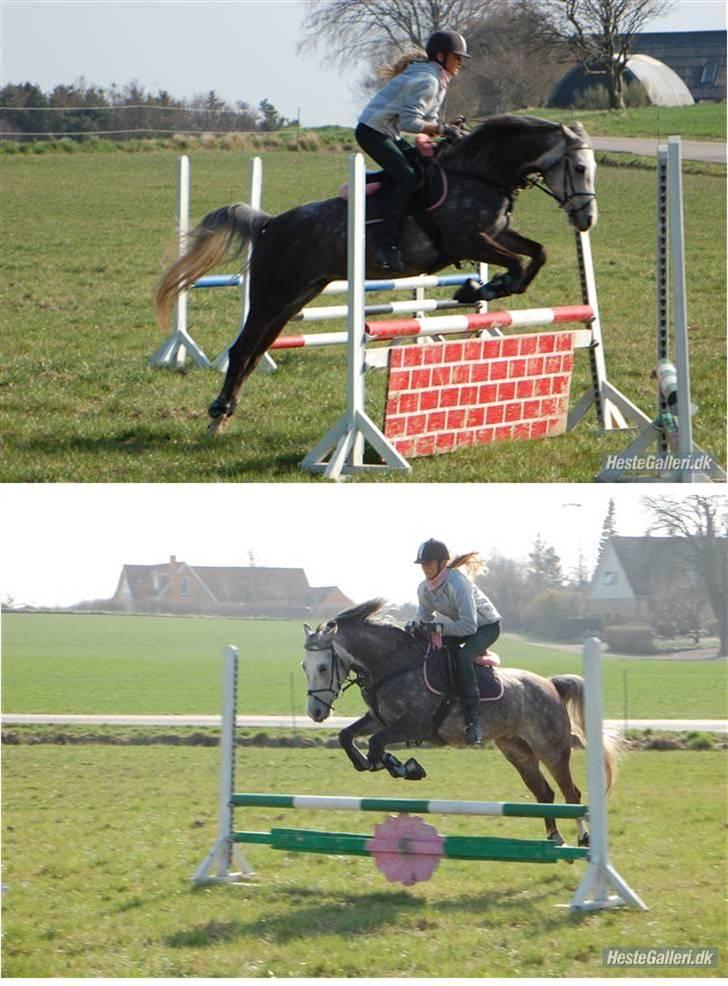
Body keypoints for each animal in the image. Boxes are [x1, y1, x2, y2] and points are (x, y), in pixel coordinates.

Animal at [155, 115, 596, 430]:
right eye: (578, 167)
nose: (586, 219)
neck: (479, 174)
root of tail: (269, 224)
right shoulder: (467, 241)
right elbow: (518, 263)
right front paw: (479, 289)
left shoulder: (497, 235)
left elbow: (537, 254)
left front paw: (483, 288)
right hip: (271, 296)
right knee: (242, 349)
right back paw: (217, 412)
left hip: (293, 299)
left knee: (255, 351)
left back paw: (227, 410)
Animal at [302, 600, 620, 844]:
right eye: (305, 666)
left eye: (323, 667)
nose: (315, 712)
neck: (392, 664)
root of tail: (551, 685)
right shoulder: (380, 719)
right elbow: (348, 736)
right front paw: (373, 763)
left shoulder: (415, 725)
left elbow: (377, 744)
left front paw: (403, 767)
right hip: (516, 750)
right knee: (544, 792)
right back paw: (554, 838)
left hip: (550, 748)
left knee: (571, 792)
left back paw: (583, 837)